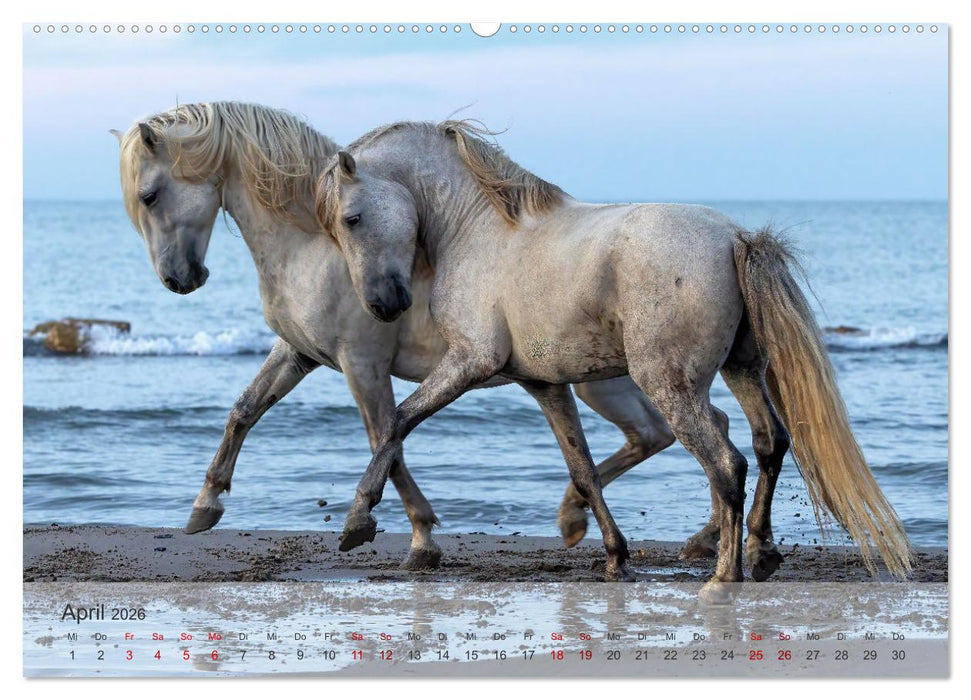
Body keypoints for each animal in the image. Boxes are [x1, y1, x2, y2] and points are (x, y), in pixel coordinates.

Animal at [114, 101, 754, 572]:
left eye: (150, 195)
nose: (178, 280)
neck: (310, 248)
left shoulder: (361, 364)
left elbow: (386, 439)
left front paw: (413, 536)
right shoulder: (300, 353)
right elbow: (245, 410)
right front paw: (205, 506)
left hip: (611, 378)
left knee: (685, 434)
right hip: (602, 377)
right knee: (677, 432)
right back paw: (645, 529)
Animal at [314, 119, 912, 601]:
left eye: (352, 218)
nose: (384, 304)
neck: (478, 232)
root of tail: (734, 237)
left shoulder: (469, 363)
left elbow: (397, 421)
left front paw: (357, 522)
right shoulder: (544, 384)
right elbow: (581, 468)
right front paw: (612, 556)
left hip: (670, 385)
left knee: (728, 464)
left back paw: (724, 576)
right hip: (741, 370)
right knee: (770, 443)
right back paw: (760, 554)